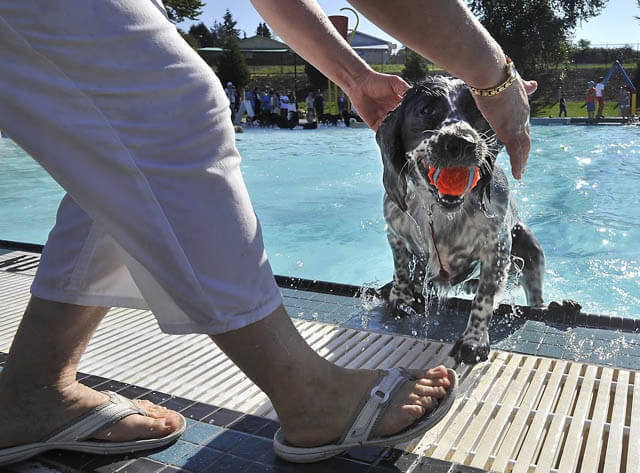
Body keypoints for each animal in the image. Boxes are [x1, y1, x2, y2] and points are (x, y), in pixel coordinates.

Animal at [376, 76, 544, 362]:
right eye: (426, 109)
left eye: (478, 111)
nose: (461, 142)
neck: (439, 212)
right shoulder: (395, 232)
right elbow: (402, 268)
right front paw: (401, 298)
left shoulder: (497, 249)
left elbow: (483, 299)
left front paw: (474, 341)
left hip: (529, 244)